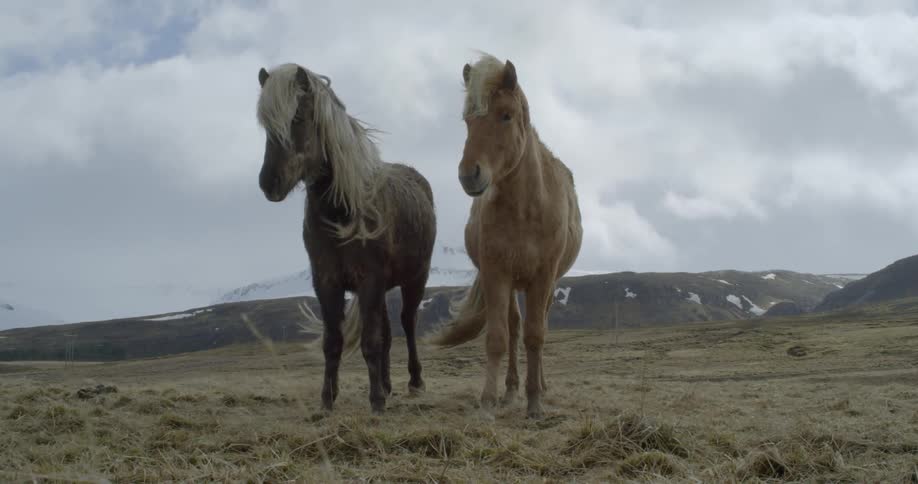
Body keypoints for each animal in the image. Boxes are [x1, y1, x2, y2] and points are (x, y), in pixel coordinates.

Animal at [255, 63, 437, 414]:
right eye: (265, 125)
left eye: (298, 117)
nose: (269, 183)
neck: (342, 211)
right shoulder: (327, 281)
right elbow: (333, 342)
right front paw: (328, 400)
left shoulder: (369, 280)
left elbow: (370, 342)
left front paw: (376, 401)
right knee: (388, 331)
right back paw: (388, 384)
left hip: (414, 278)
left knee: (407, 323)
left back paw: (415, 382)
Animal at [430, 53, 583, 418]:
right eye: (468, 120)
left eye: (505, 115)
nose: (469, 175)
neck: (526, 209)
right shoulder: (496, 272)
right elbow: (499, 337)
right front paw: (489, 401)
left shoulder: (543, 276)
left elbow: (536, 336)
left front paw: (535, 403)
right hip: (513, 283)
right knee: (514, 328)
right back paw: (511, 390)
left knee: (539, 326)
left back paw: (538, 384)